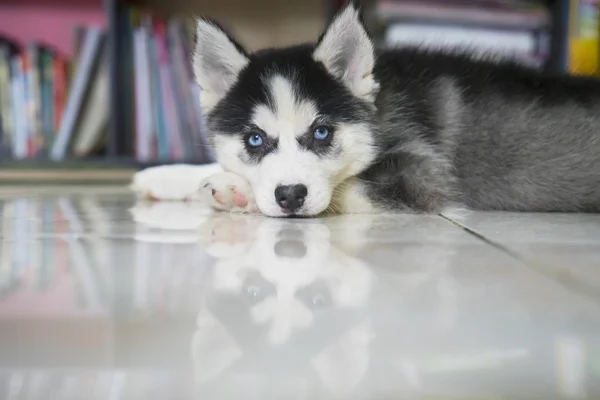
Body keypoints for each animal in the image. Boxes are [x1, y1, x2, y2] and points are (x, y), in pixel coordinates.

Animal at [134, 2, 600, 216]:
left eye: (322, 132)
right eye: (254, 139)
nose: (290, 196)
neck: (380, 107)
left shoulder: (423, 179)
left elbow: (343, 187)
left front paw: (237, 190)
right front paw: (167, 176)